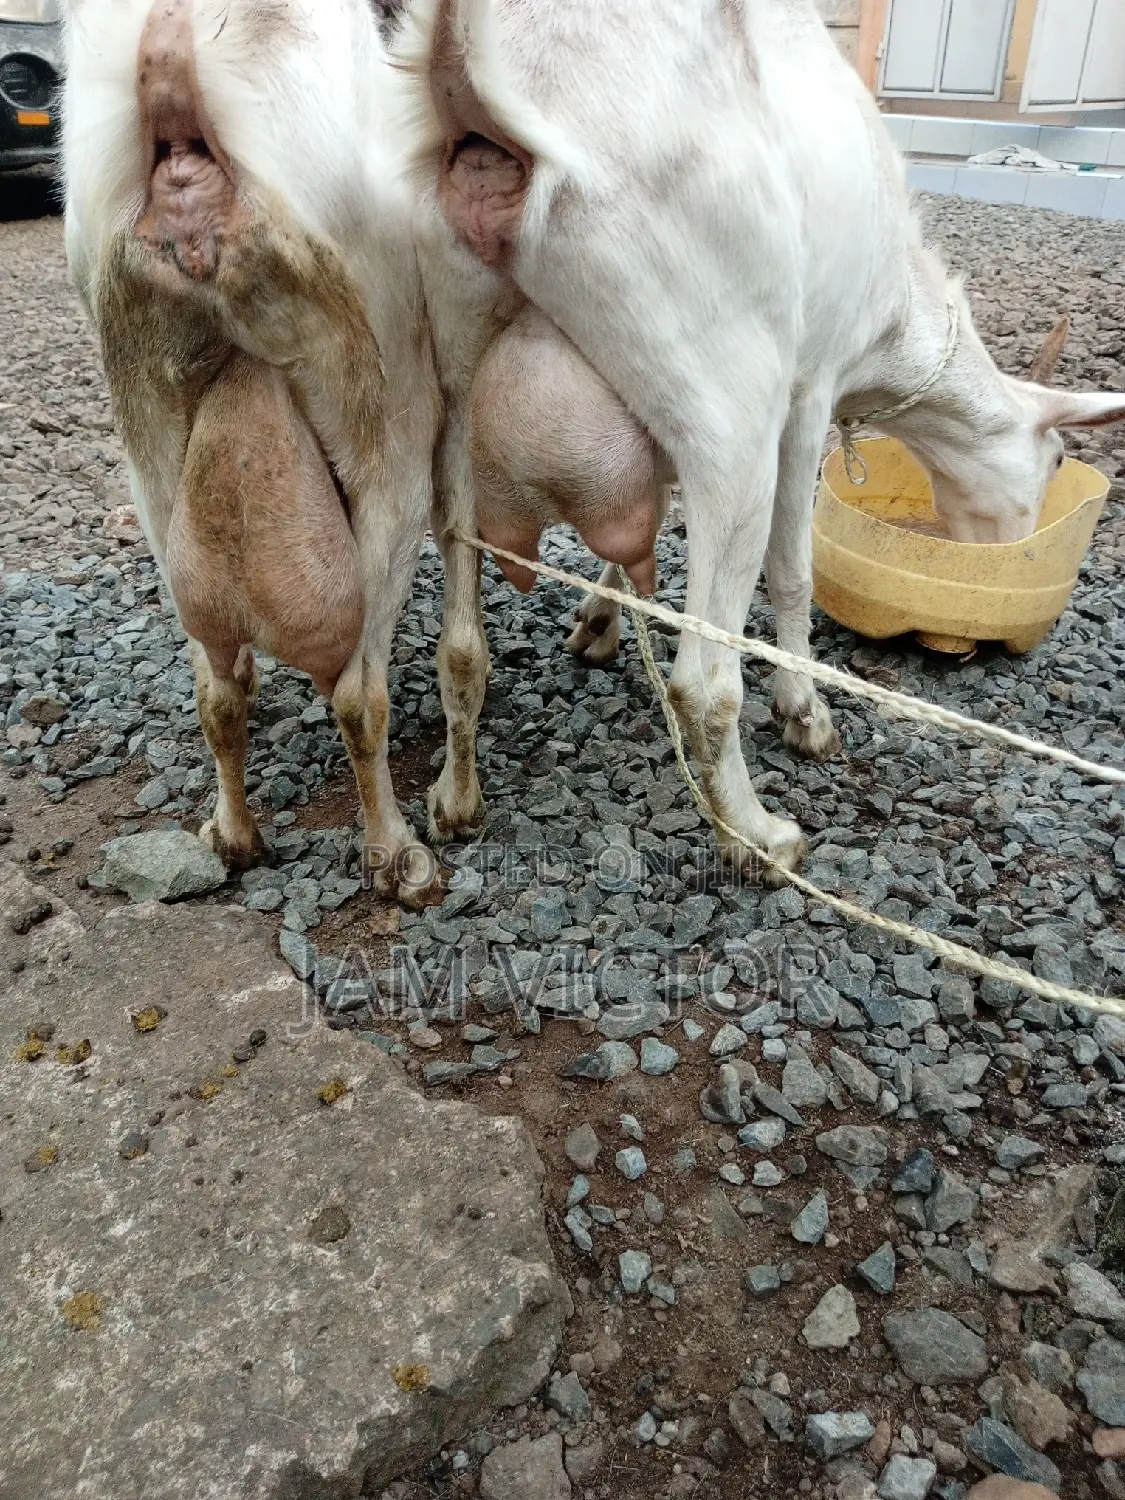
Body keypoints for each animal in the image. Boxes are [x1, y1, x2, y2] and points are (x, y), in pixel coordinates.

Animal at [64, 0, 442, 904]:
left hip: (149, 437)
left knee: (216, 691)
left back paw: (233, 835)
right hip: (386, 424)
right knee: (359, 695)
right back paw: (396, 856)